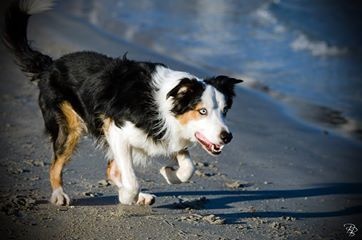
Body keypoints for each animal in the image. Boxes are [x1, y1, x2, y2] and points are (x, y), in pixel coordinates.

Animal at [2, 0, 243, 206]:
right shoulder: (116, 129)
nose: (227, 137)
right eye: (202, 111)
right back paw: (60, 195)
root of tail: (50, 65)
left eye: (225, 110)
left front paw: (169, 173)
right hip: (70, 127)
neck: (164, 103)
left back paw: (142, 196)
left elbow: (189, 167)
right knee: (57, 165)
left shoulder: (166, 134)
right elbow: (132, 180)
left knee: (111, 170)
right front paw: (128, 196)